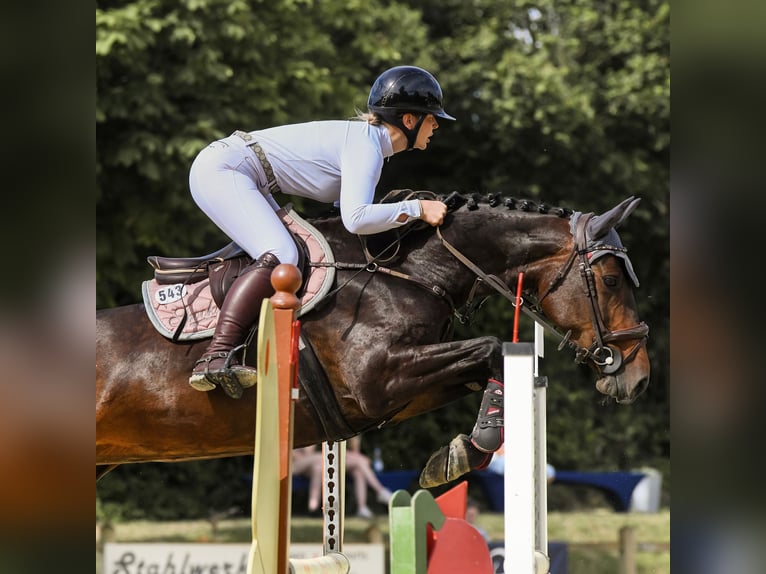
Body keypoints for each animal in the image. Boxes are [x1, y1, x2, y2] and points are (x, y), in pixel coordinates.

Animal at [93, 195, 652, 490]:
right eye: (610, 281)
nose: (639, 378)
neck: (412, 272)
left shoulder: (397, 394)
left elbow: (481, 364)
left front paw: (457, 454)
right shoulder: (378, 379)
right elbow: (492, 347)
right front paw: (466, 452)